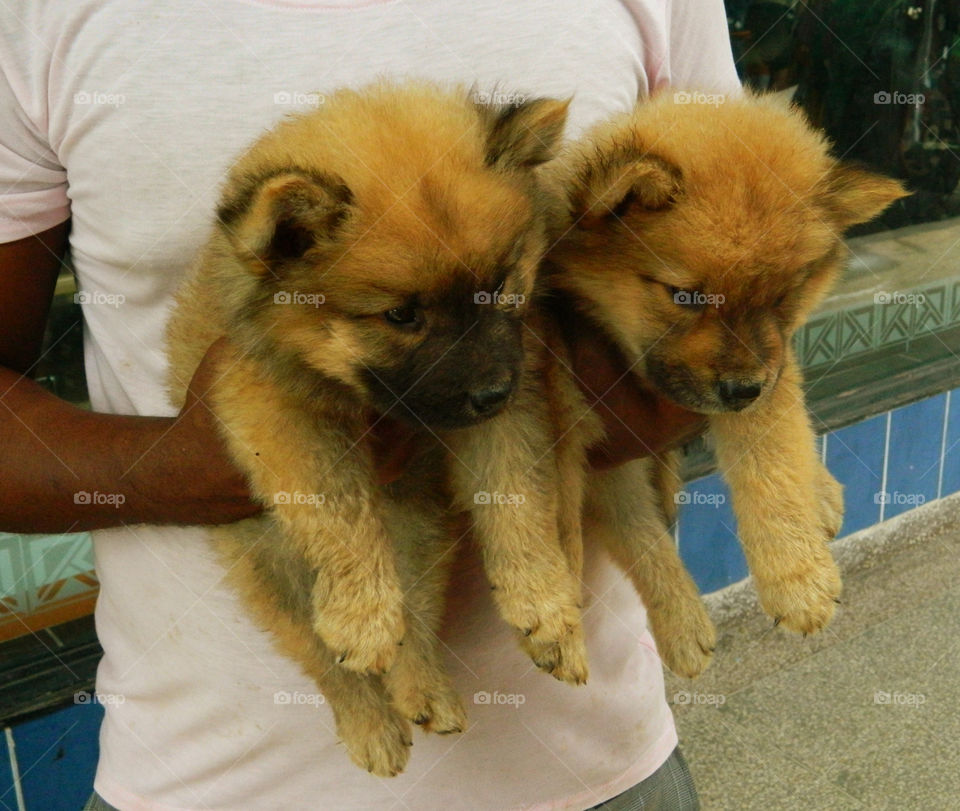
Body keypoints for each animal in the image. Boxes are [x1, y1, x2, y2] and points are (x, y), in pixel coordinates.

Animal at [162, 81, 584, 772]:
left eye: (499, 286)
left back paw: (424, 691)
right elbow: (336, 506)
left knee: (415, 621)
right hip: (274, 567)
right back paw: (371, 724)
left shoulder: (503, 401)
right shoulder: (271, 406)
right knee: (325, 662)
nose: (492, 392)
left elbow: (515, 496)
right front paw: (362, 617)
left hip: (421, 536)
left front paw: (541, 600)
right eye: (401, 316)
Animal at [540, 92, 908, 680]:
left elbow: (775, 462)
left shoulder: (771, 370)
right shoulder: (582, 415)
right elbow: (577, 520)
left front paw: (796, 574)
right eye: (686, 297)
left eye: (782, 295)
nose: (741, 392)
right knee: (640, 532)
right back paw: (683, 624)